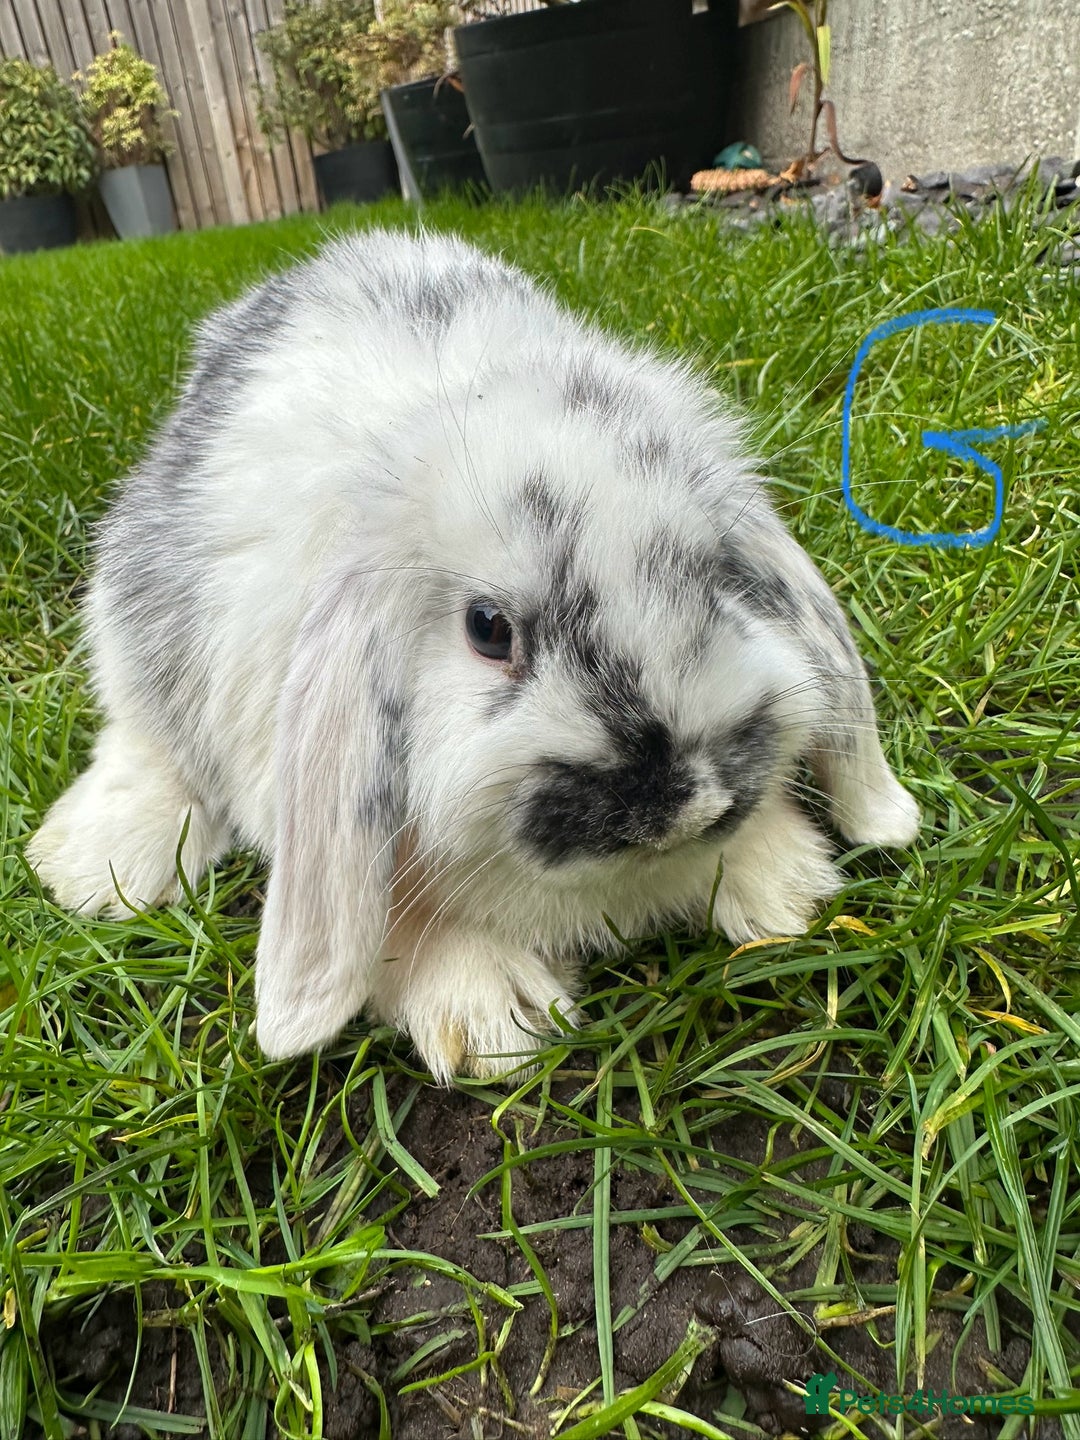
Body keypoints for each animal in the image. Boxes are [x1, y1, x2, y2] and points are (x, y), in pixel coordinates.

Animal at [28, 227, 920, 1082]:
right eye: (488, 628)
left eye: (719, 577)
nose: (685, 804)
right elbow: (389, 921)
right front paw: (496, 1016)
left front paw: (785, 887)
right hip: (130, 617)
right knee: (144, 741)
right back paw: (92, 867)